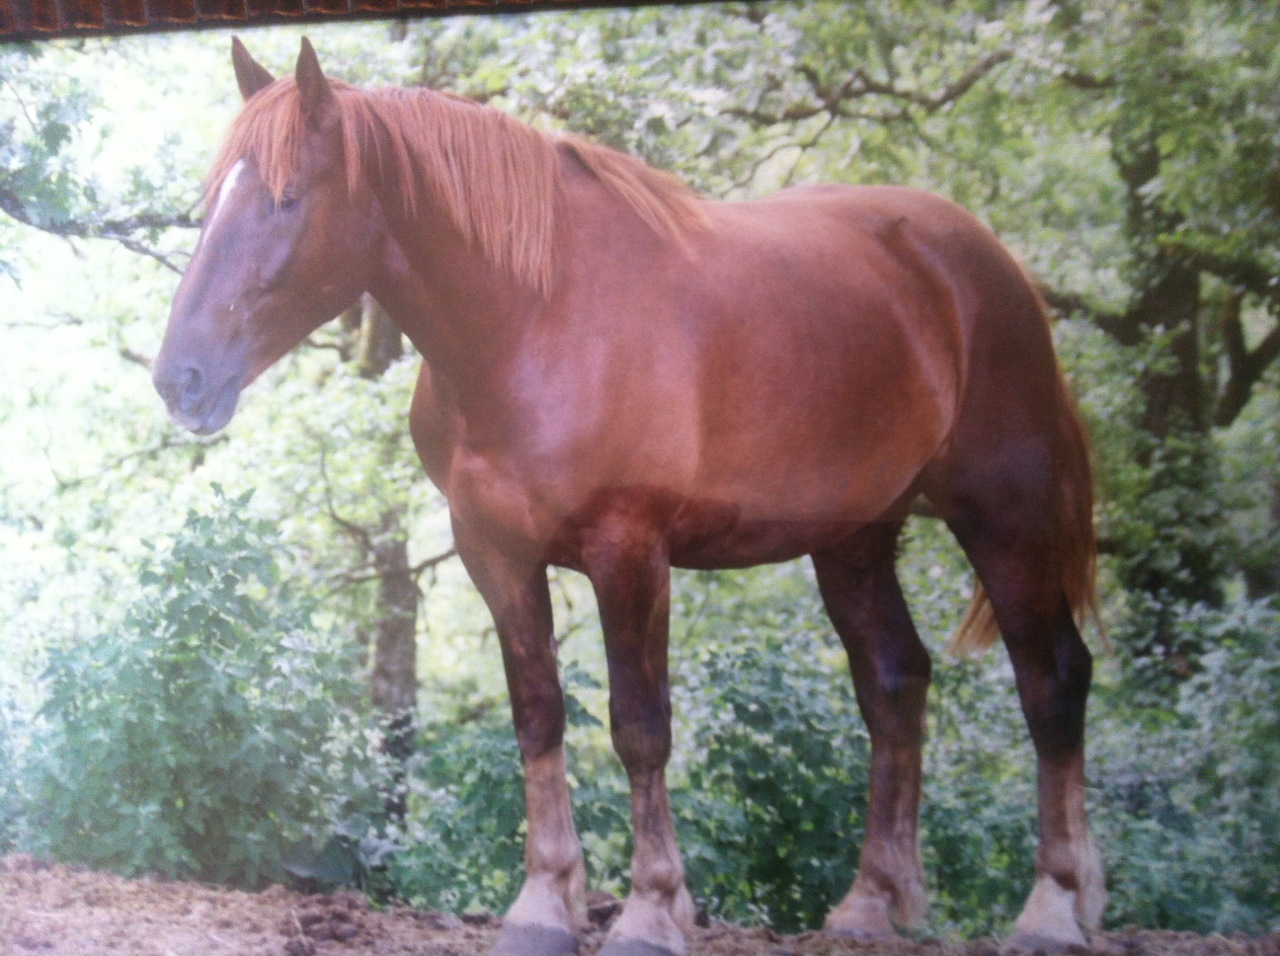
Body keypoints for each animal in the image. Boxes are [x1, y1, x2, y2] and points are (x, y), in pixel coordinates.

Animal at [153, 38, 1106, 956]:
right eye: (213, 200)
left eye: (286, 198)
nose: (179, 379)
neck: (533, 320)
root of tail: (989, 265)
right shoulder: (495, 553)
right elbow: (538, 715)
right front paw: (543, 905)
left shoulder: (631, 551)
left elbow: (640, 726)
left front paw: (650, 914)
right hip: (855, 536)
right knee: (895, 682)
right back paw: (872, 904)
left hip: (1005, 516)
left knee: (1052, 679)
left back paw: (1055, 908)